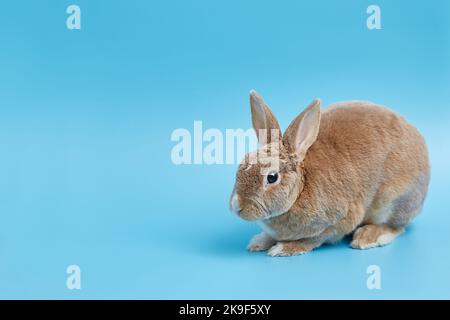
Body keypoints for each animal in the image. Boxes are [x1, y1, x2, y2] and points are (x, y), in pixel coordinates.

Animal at [230, 90, 430, 258]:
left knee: (395, 227)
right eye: (241, 165)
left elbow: (312, 240)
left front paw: (283, 248)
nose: (236, 206)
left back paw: (368, 237)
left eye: (272, 177)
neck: (301, 188)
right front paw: (258, 242)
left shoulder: (339, 221)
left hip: (394, 200)